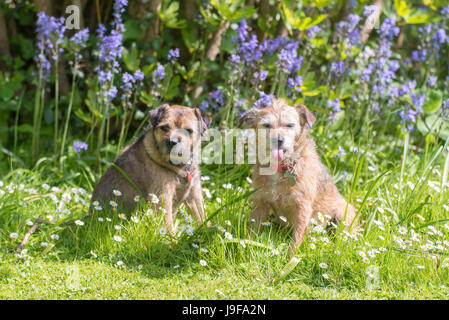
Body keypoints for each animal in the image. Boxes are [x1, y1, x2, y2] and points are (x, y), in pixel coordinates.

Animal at [92, 104, 211, 232]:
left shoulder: (194, 193)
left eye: (188, 130)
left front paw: (209, 231)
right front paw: (171, 238)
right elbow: (168, 224)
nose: (172, 141)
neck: (180, 165)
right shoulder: (163, 197)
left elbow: (202, 216)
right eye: (164, 127)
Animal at [240, 97, 356, 255]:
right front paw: (248, 248)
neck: (282, 167)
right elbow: (253, 230)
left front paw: (290, 257)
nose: (278, 140)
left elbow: (297, 237)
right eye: (266, 125)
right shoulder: (261, 202)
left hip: (343, 214)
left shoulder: (303, 207)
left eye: (289, 125)